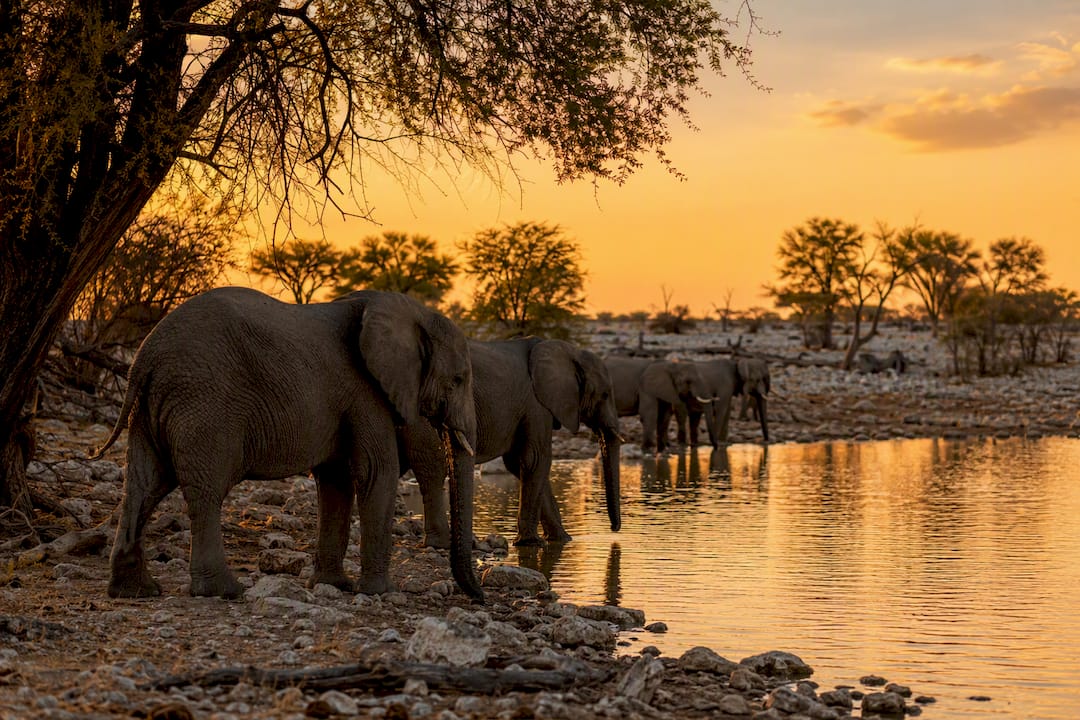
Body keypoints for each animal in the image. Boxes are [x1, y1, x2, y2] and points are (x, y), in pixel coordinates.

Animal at [91, 287, 483, 600]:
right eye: (459, 379)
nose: (478, 597)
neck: (413, 311)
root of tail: (143, 357)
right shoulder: (366, 392)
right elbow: (376, 473)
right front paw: (381, 592)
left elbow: (336, 481)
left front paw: (333, 585)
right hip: (204, 404)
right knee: (205, 491)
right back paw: (223, 591)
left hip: (152, 407)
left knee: (144, 484)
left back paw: (135, 591)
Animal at [402, 337, 621, 549]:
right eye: (605, 395)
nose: (614, 529)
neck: (569, 350)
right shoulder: (536, 405)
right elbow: (534, 460)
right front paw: (531, 543)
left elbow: (519, 464)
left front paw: (561, 540)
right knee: (433, 470)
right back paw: (439, 544)